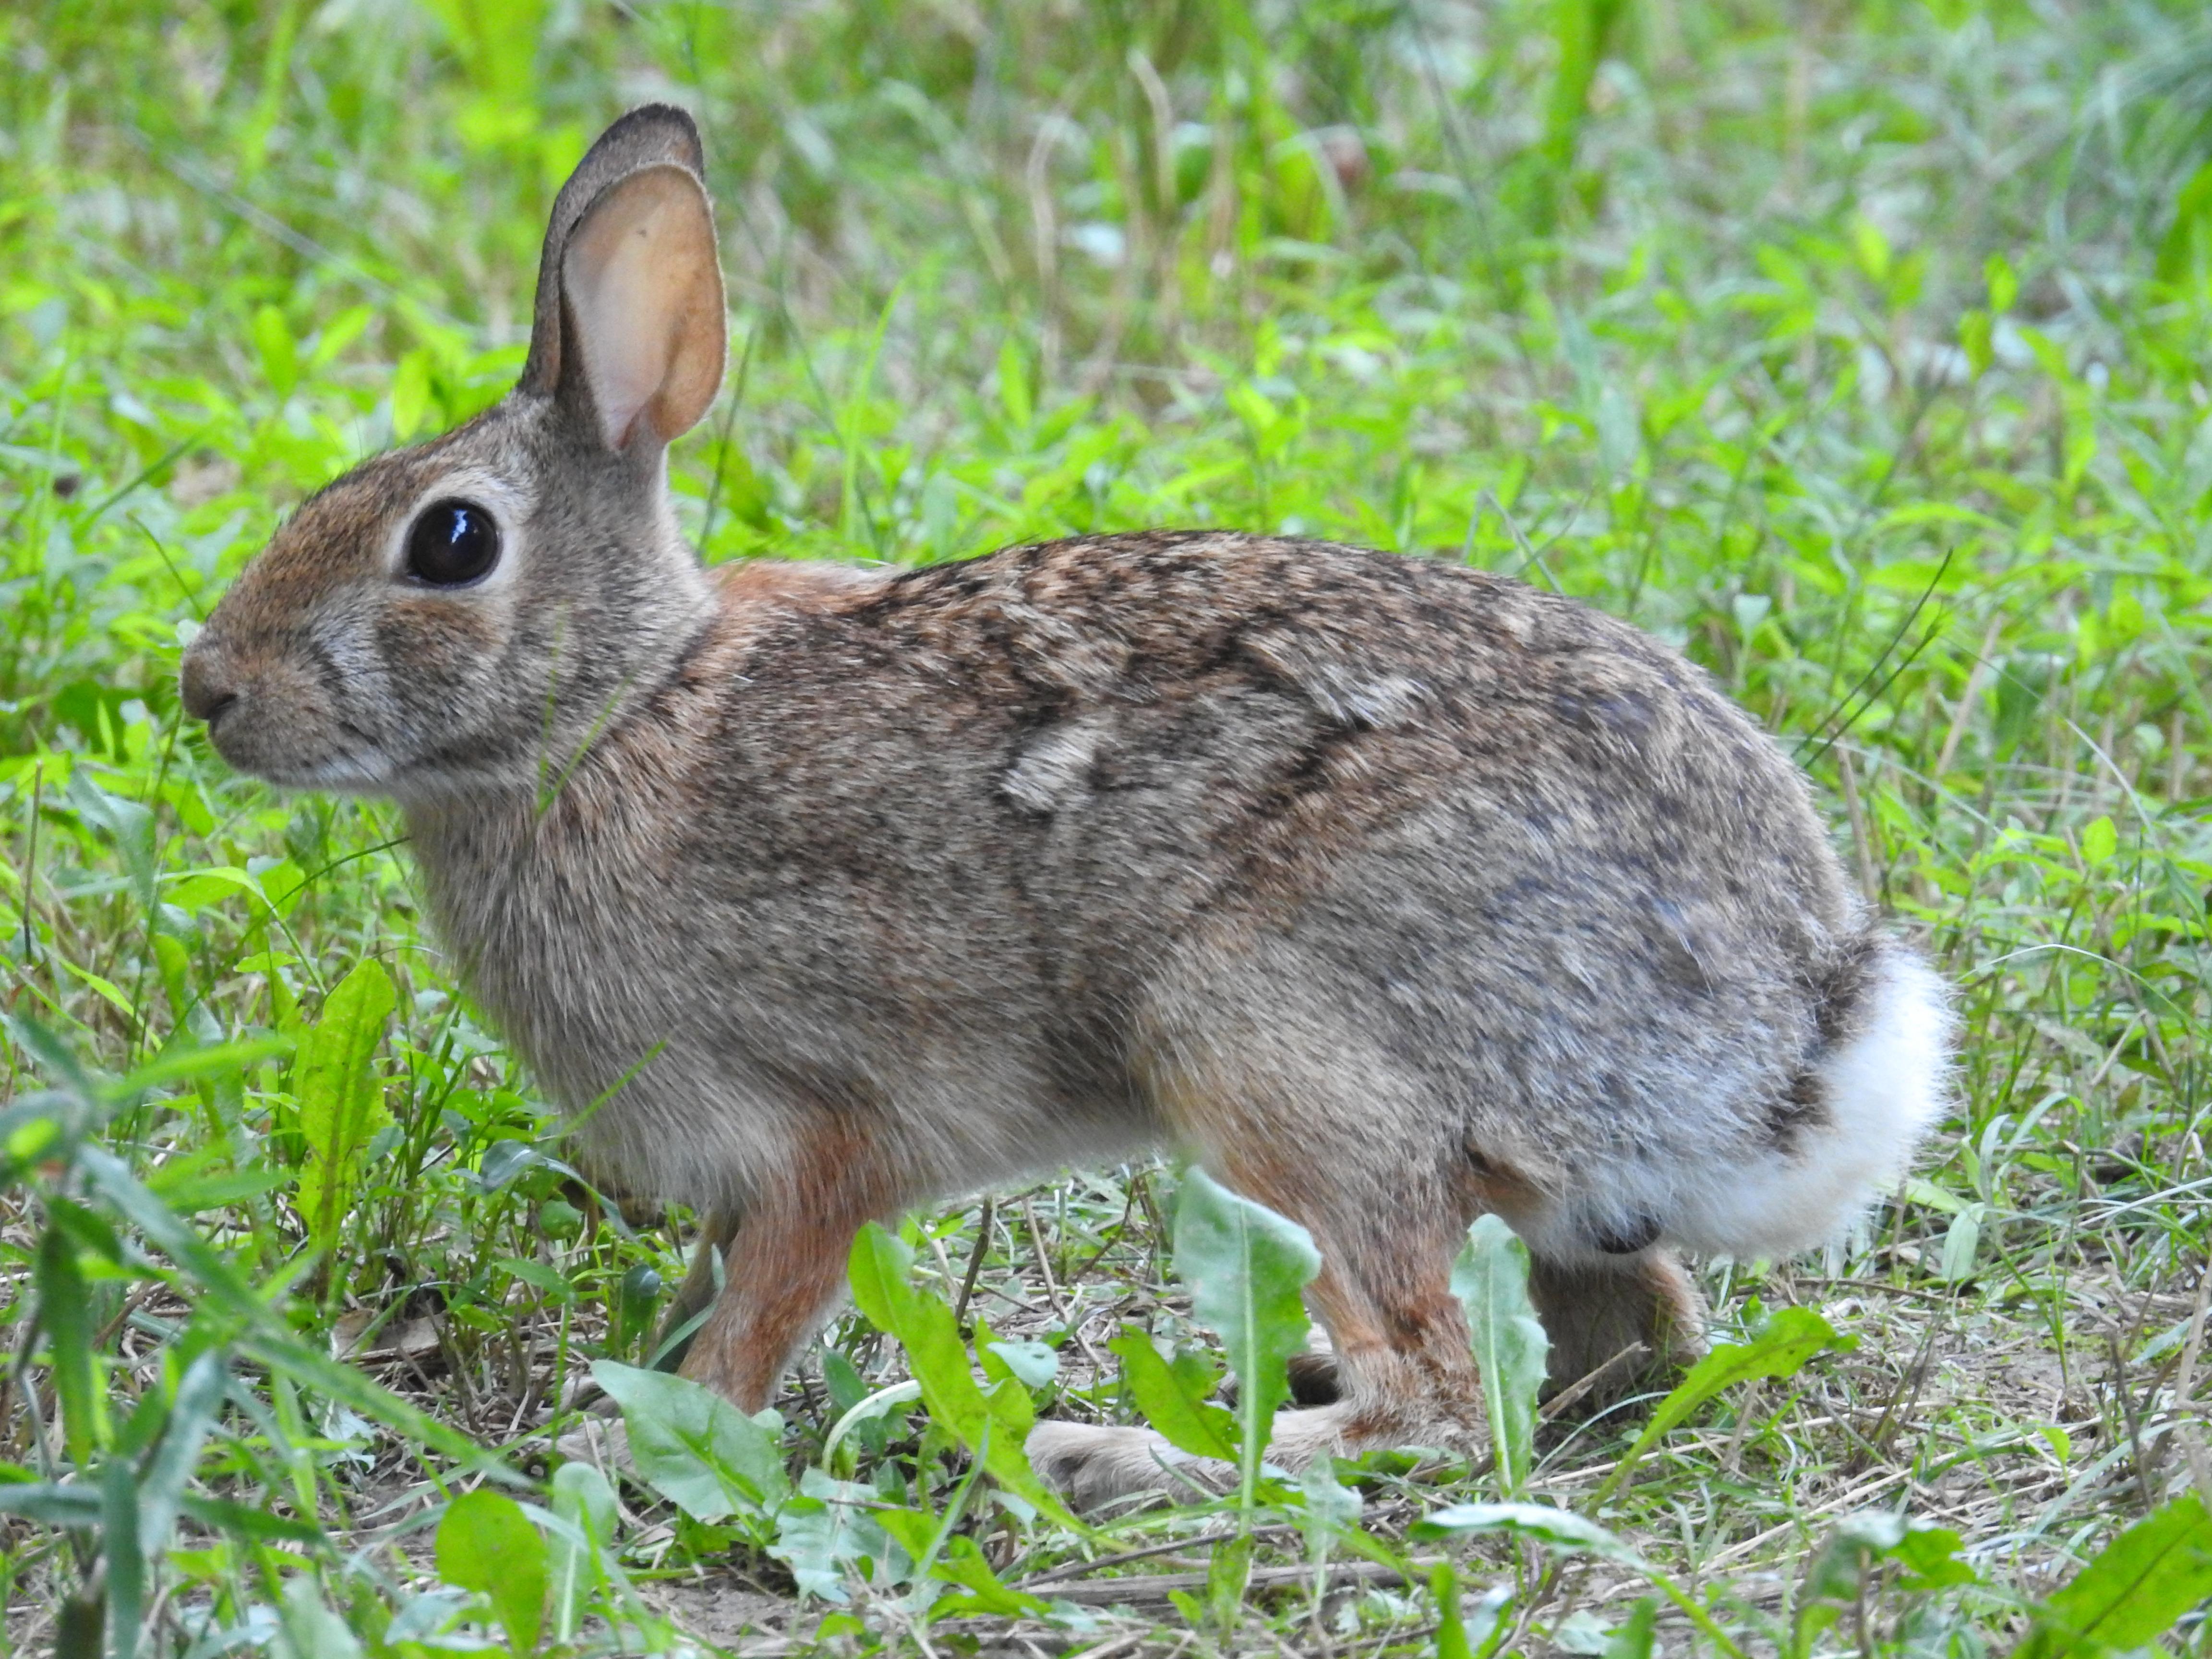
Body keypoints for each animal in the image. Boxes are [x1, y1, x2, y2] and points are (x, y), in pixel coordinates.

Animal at [186, 100, 1955, 1504]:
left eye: (451, 544)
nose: (208, 689)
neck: (619, 711)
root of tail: (1796, 1031)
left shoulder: (825, 1134)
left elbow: (757, 1316)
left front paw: (641, 1447)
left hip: (1265, 1047)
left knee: (1445, 1400)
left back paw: (1117, 1452)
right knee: (1609, 1344)